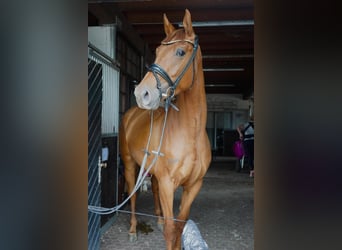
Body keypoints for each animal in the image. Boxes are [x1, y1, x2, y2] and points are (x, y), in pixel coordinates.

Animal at [120, 9, 211, 250]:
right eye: (158, 51)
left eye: (180, 51)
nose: (141, 93)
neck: (191, 133)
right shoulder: (169, 185)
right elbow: (171, 231)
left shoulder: (193, 186)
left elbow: (179, 227)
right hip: (130, 165)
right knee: (132, 196)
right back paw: (132, 230)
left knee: (153, 188)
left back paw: (158, 219)